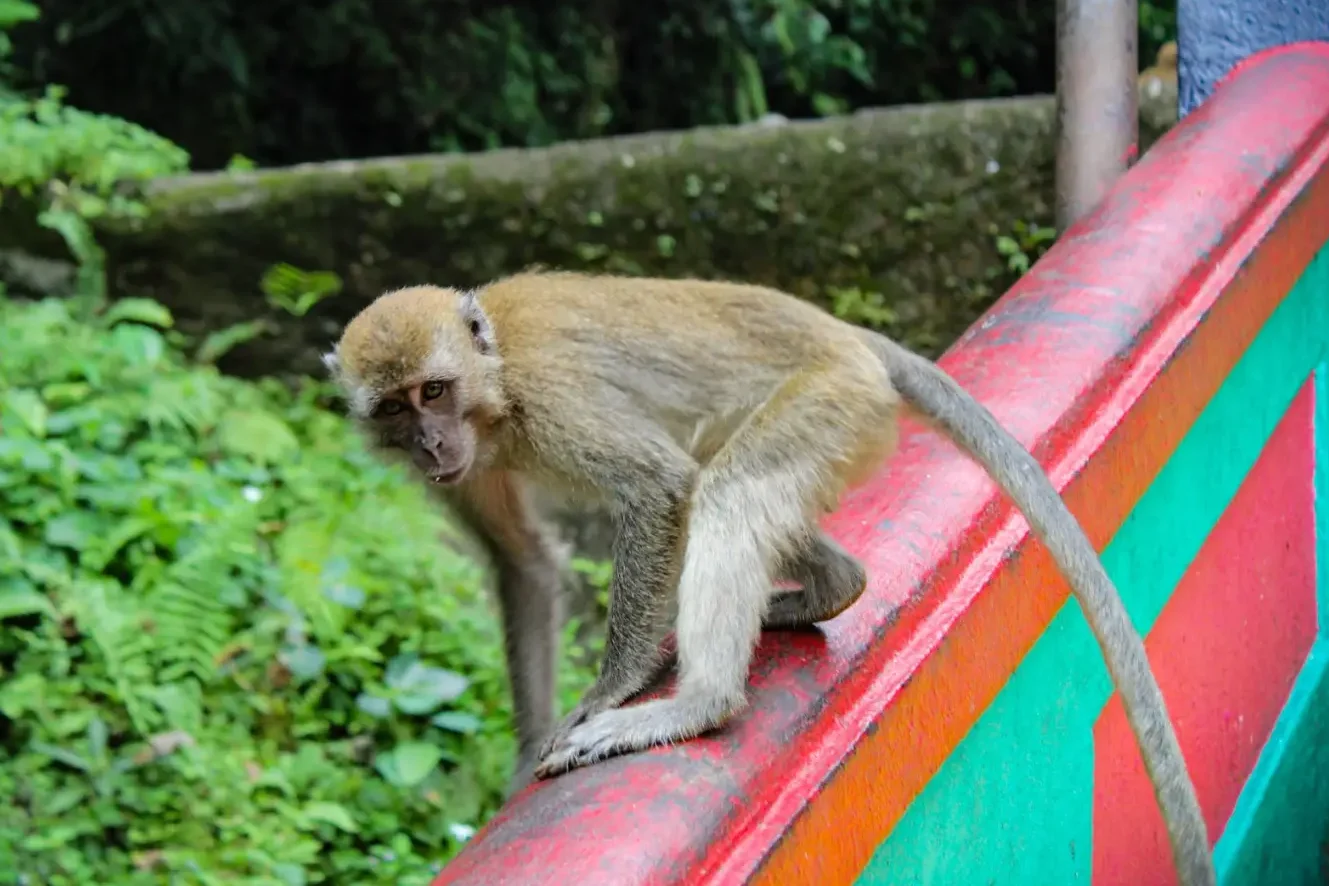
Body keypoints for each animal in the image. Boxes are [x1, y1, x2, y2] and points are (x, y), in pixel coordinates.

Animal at [321, 273, 1217, 882]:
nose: (432, 445)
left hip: (829, 397)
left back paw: (697, 702)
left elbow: (658, 486)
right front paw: (519, 762)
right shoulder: (470, 468)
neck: (494, 377)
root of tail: (838, 329)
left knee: (723, 486)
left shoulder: (549, 395)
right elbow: (526, 566)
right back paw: (828, 590)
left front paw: (612, 688)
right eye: (397, 408)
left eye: (434, 389)